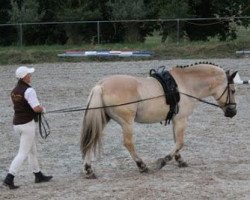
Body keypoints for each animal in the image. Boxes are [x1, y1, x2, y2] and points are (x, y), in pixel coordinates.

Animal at [79, 62, 237, 178]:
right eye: (233, 90)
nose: (233, 112)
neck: (185, 85)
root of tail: (100, 85)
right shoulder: (181, 120)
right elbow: (180, 142)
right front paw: (163, 161)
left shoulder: (175, 120)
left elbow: (176, 141)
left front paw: (180, 160)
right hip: (127, 123)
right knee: (128, 143)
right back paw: (142, 166)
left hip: (103, 120)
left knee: (91, 140)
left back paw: (88, 170)